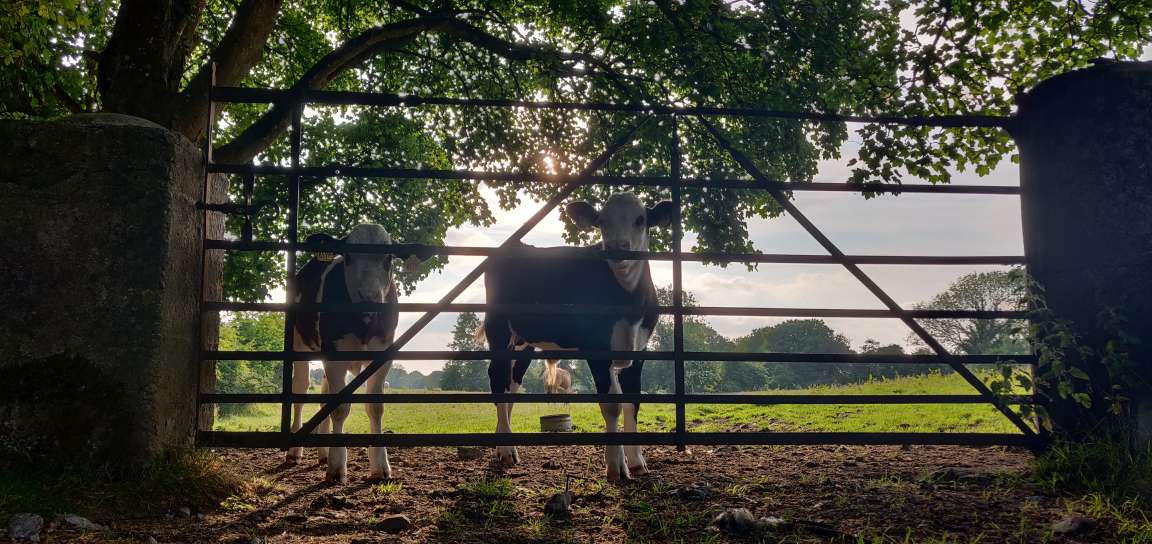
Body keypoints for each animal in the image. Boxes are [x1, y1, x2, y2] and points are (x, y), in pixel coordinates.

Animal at [285, 224, 403, 483]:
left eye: (389, 258)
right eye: (348, 256)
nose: (369, 297)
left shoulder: (383, 354)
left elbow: (375, 408)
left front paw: (380, 465)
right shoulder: (334, 353)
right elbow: (339, 408)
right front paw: (337, 465)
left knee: (323, 396)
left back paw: (323, 454)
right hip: (299, 348)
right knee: (300, 391)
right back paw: (294, 451)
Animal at [483, 192, 674, 482]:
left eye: (641, 219)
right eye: (601, 221)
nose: (617, 246)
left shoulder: (639, 350)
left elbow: (633, 402)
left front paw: (637, 462)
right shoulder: (597, 350)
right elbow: (612, 406)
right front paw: (615, 467)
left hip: (524, 342)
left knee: (511, 384)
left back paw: (500, 444)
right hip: (498, 329)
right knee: (497, 379)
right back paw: (506, 451)